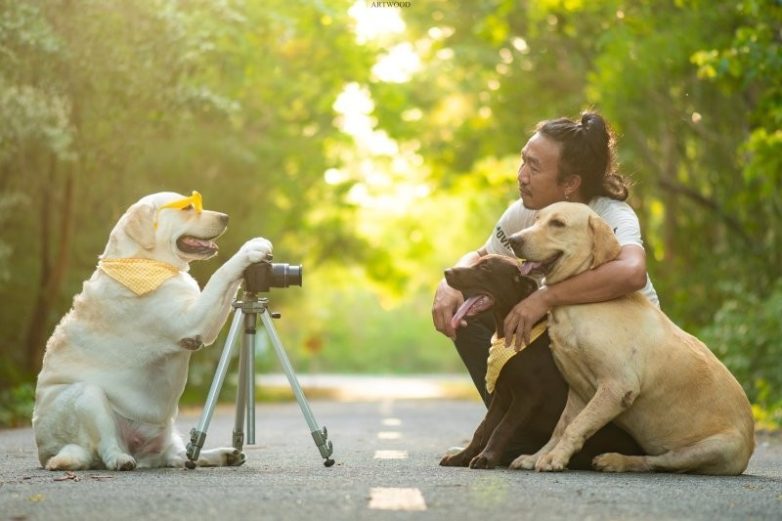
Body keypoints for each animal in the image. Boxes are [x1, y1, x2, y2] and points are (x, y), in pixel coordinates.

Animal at [33, 192, 272, 472]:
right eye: (187, 208)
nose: (225, 217)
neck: (147, 261)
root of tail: (48, 452)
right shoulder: (192, 320)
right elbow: (221, 274)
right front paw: (250, 248)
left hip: (167, 431)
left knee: (181, 456)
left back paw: (224, 454)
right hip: (86, 396)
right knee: (106, 445)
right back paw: (121, 459)